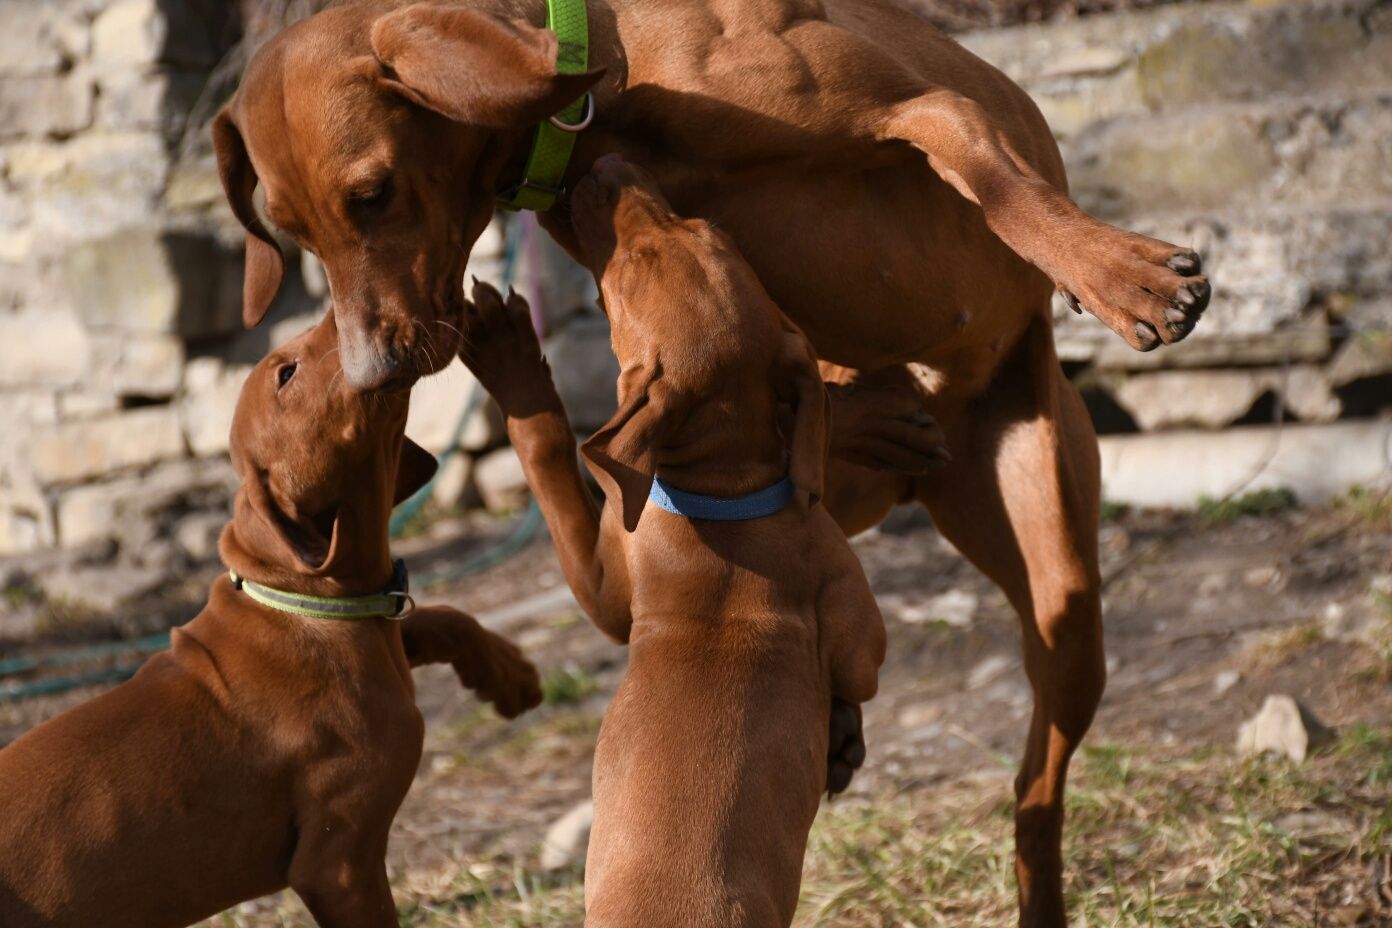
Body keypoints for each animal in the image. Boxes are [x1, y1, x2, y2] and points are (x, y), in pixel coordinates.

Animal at [0, 311, 540, 928]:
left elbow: (439, 619)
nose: (336, 309)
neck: (304, 602)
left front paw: (509, 674)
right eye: (287, 373)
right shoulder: (338, 862)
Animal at [462, 154, 885, 928]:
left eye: (625, 270)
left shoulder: (608, 581)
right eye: (706, 226)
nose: (606, 165)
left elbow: (549, 453)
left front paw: (509, 361)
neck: (727, 489)